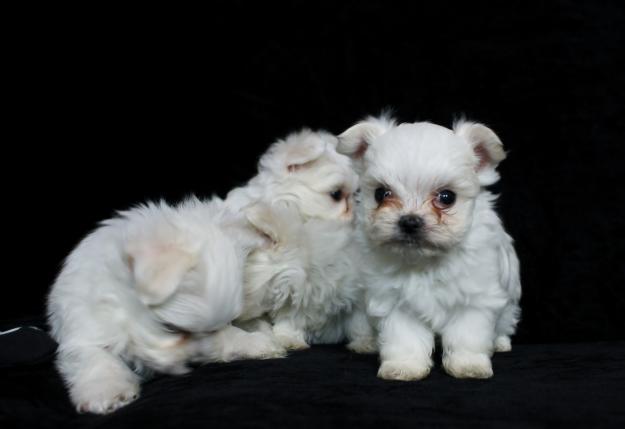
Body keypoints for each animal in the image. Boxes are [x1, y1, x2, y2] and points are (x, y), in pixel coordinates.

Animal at [48, 196, 282, 412]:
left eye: (218, 328)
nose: (193, 360)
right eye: (169, 328)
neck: (122, 309)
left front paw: (254, 343)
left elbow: (230, 335)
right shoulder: (86, 326)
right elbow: (95, 356)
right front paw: (107, 390)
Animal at [228, 129, 378, 352]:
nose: (353, 208)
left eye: (358, 192)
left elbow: (359, 320)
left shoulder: (352, 283)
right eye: (336, 194)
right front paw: (289, 340)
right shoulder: (291, 285)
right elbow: (290, 317)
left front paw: (365, 343)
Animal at [338, 115, 520, 380]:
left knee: (505, 323)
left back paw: (501, 342)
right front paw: (404, 366)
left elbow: (468, 334)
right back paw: (366, 343)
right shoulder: (396, 302)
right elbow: (405, 337)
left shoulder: (476, 298)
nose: (410, 221)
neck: (424, 261)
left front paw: (469, 365)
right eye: (381, 193)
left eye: (447, 197)